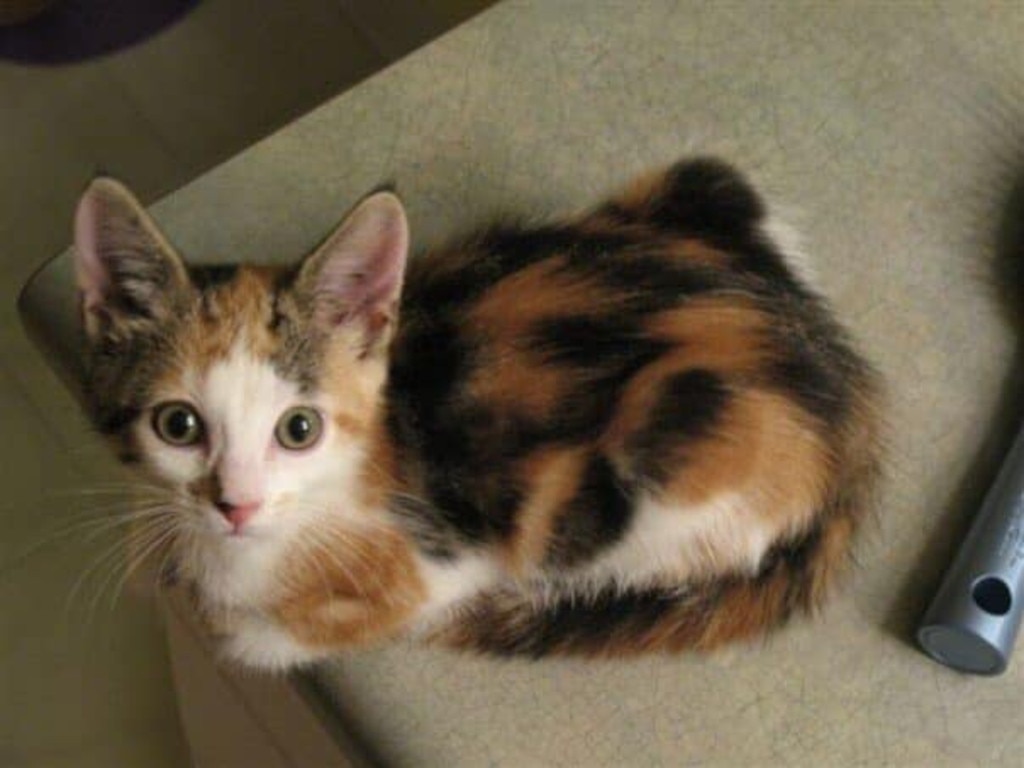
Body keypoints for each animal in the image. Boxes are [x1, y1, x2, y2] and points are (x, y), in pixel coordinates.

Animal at [72, 159, 880, 671]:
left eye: (299, 429)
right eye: (178, 426)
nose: (235, 506)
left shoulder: (441, 563)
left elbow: (299, 629)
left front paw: (249, 623)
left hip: (673, 448)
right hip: (708, 181)